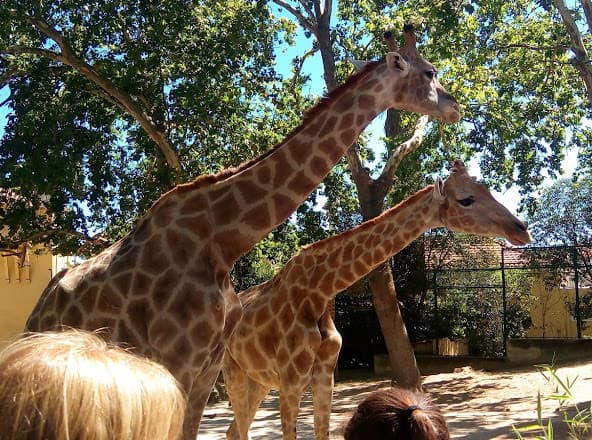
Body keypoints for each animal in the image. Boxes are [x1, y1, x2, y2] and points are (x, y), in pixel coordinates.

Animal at [25, 25, 460, 438]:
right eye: (429, 71)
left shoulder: (207, 368)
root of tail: (37, 312)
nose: (455, 106)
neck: (221, 240)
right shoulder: (178, 361)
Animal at [223, 159, 532, 440]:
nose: (521, 229)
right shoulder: (291, 380)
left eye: (487, 189)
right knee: (238, 427)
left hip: (259, 380)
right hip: (234, 372)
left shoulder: (324, 377)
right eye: (466, 199)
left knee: (233, 430)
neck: (319, 290)